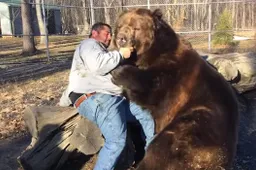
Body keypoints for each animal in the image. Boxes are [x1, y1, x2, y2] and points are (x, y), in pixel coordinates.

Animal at [111, 8, 239, 170]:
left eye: (136, 28)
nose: (121, 38)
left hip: (198, 124)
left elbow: (152, 90)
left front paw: (119, 71)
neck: (152, 53)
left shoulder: (174, 75)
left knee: (164, 144)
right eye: (120, 26)